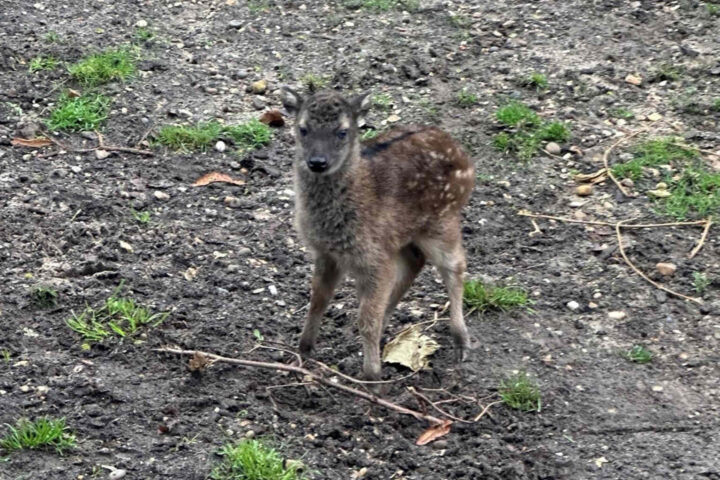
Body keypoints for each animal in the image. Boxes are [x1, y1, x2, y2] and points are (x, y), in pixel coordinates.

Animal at [282, 89, 478, 382]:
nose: (317, 162)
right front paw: (303, 351)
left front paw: (372, 378)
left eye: (343, 131)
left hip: (442, 221)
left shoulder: (374, 257)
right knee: (415, 263)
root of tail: (463, 156)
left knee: (454, 265)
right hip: (407, 236)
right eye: (303, 128)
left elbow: (366, 319)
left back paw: (461, 343)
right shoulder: (327, 252)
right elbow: (318, 299)